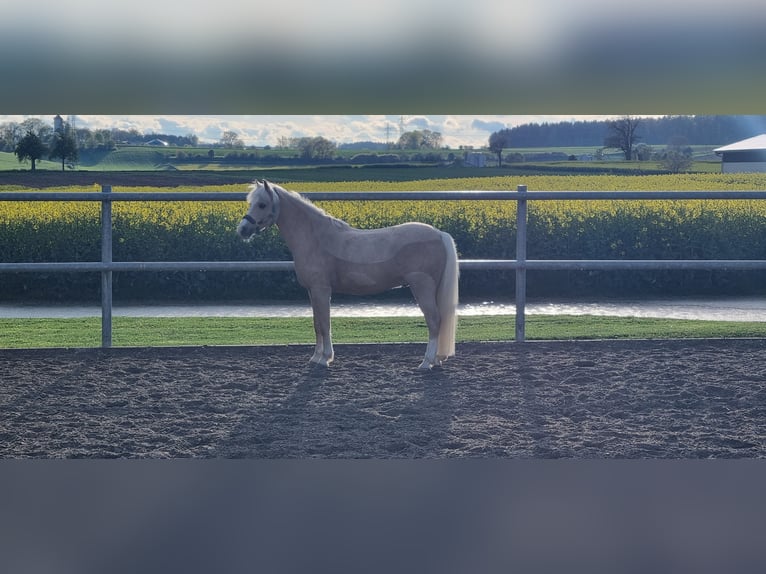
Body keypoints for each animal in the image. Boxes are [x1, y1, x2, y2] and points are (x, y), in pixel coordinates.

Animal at [237, 180, 460, 372]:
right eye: (251, 203)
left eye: (262, 204)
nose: (242, 230)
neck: (316, 239)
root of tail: (439, 234)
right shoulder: (312, 291)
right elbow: (317, 324)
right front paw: (315, 357)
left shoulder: (321, 290)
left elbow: (325, 324)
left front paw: (325, 359)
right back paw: (436, 360)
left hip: (422, 287)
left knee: (434, 320)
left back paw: (426, 362)